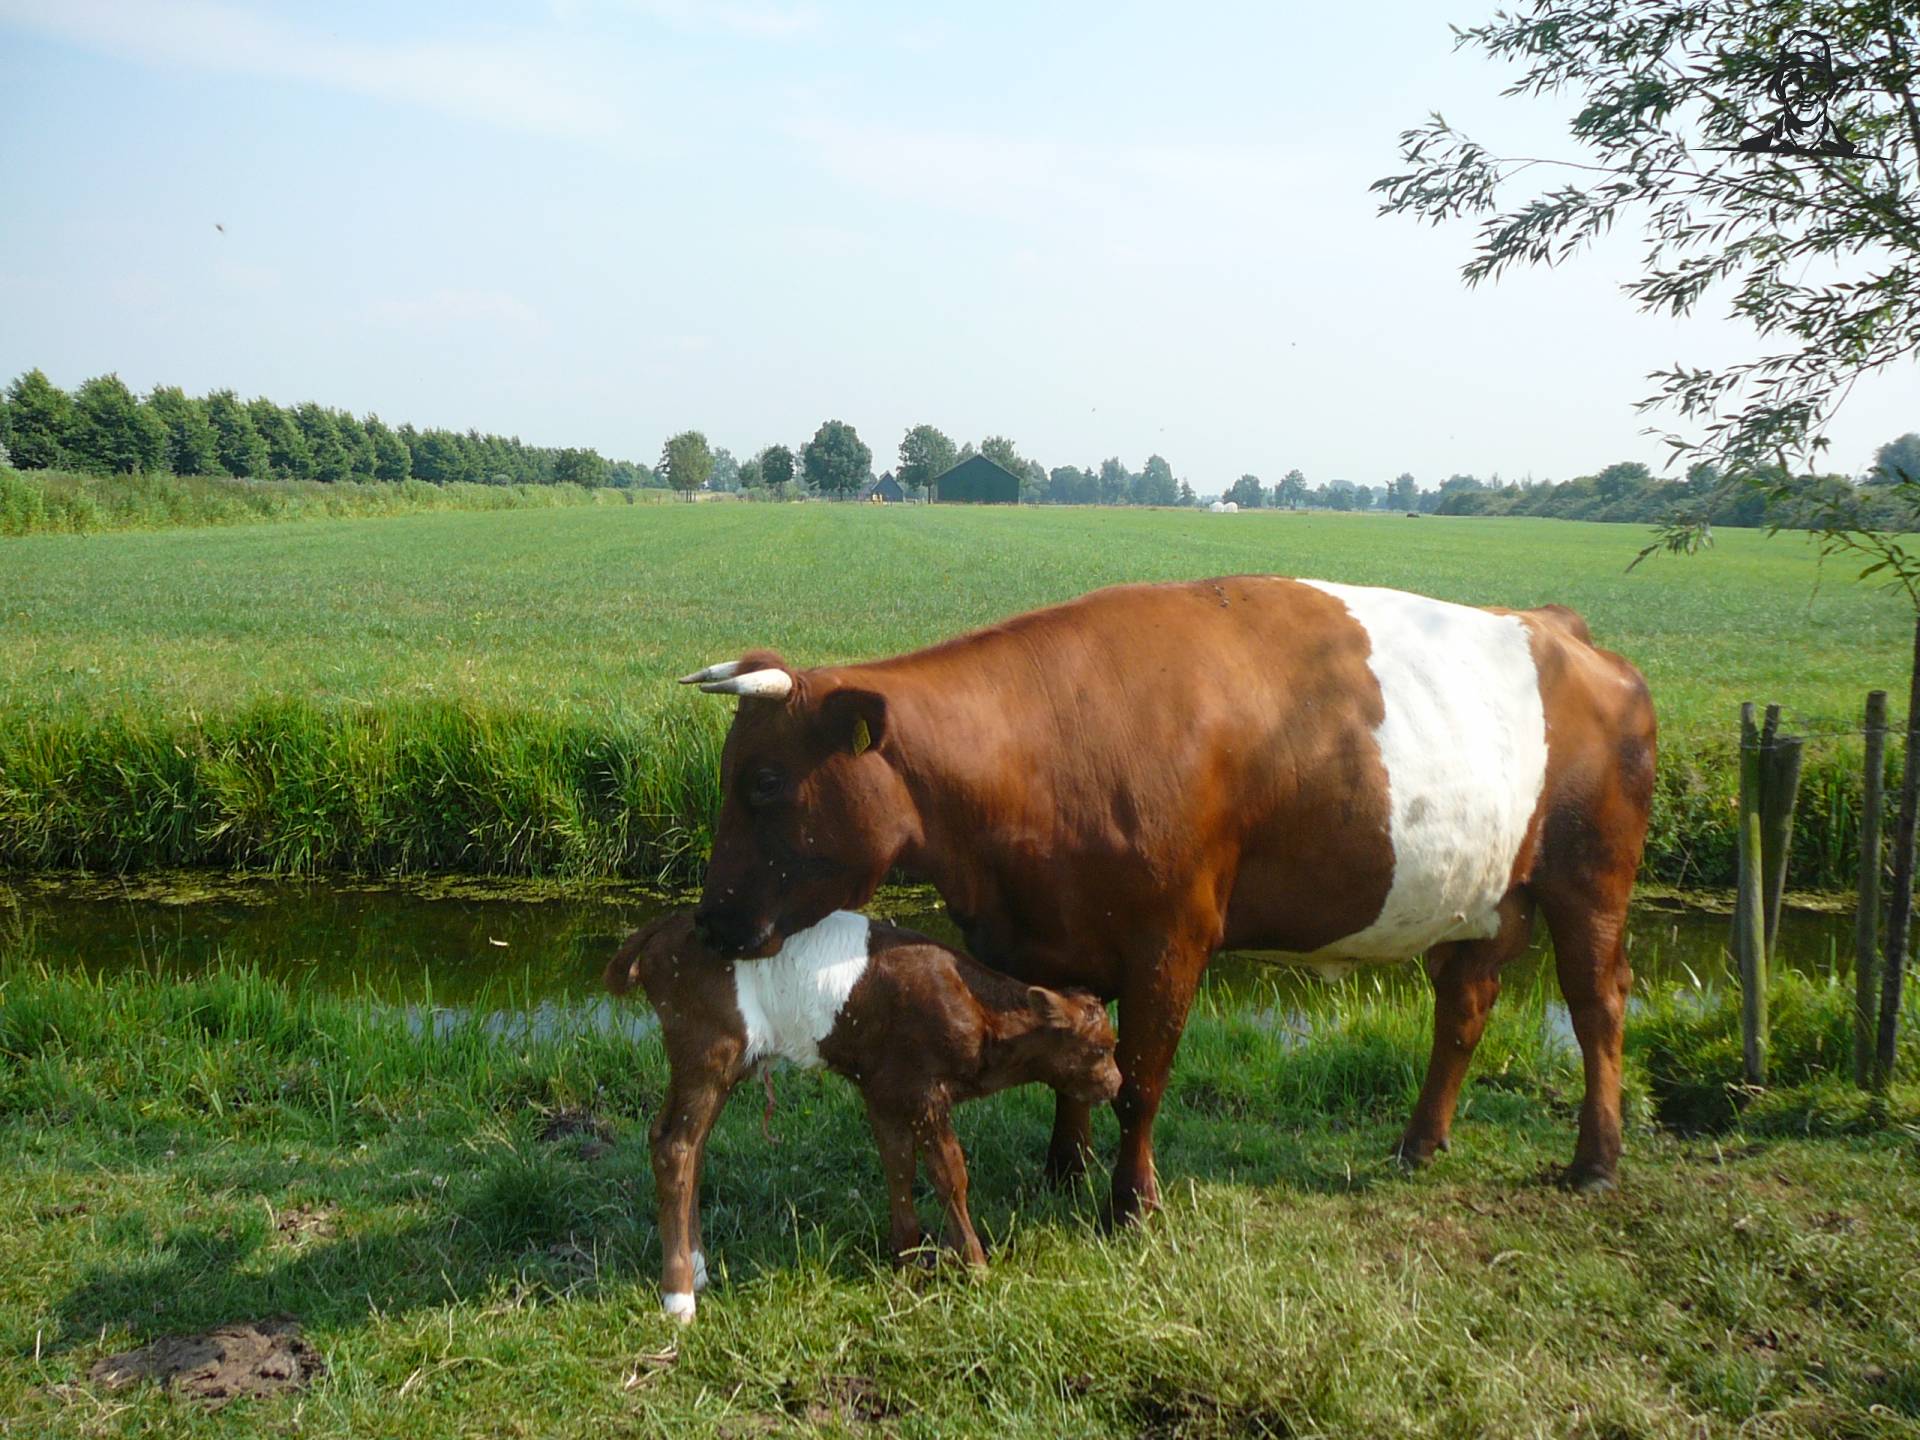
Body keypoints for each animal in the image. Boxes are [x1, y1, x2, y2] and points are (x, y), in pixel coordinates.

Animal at [680, 576, 1656, 1222]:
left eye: (765, 782)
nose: (713, 918)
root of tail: (1561, 630)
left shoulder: (1170, 940)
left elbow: (1139, 1080)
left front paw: (1130, 1203)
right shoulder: (1052, 940)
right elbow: (1071, 1060)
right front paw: (1062, 1173)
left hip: (1591, 880)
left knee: (1597, 1006)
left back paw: (1595, 1162)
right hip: (1486, 896)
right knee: (1465, 1005)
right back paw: (1420, 1143)